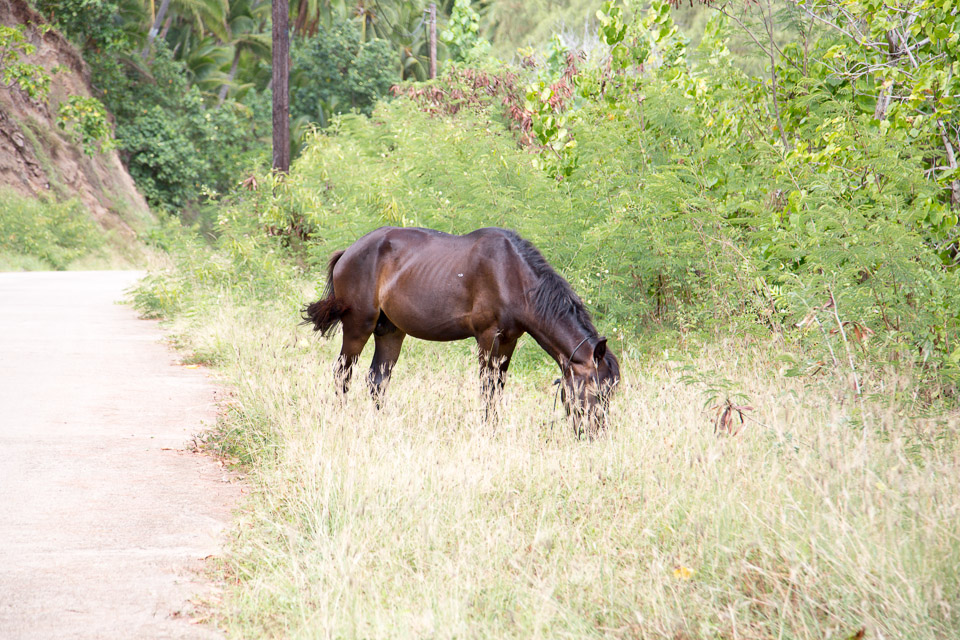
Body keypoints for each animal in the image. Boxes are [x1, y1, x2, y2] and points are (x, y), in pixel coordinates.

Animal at [304, 225, 628, 436]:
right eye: (597, 391)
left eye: (611, 392)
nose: (595, 433)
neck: (513, 275)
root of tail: (349, 251)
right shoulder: (487, 337)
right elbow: (487, 388)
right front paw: (488, 430)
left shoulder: (509, 341)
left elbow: (498, 387)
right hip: (358, 326)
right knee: (342, 373)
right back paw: (342, 419)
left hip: (391, 331)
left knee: (377, 380)